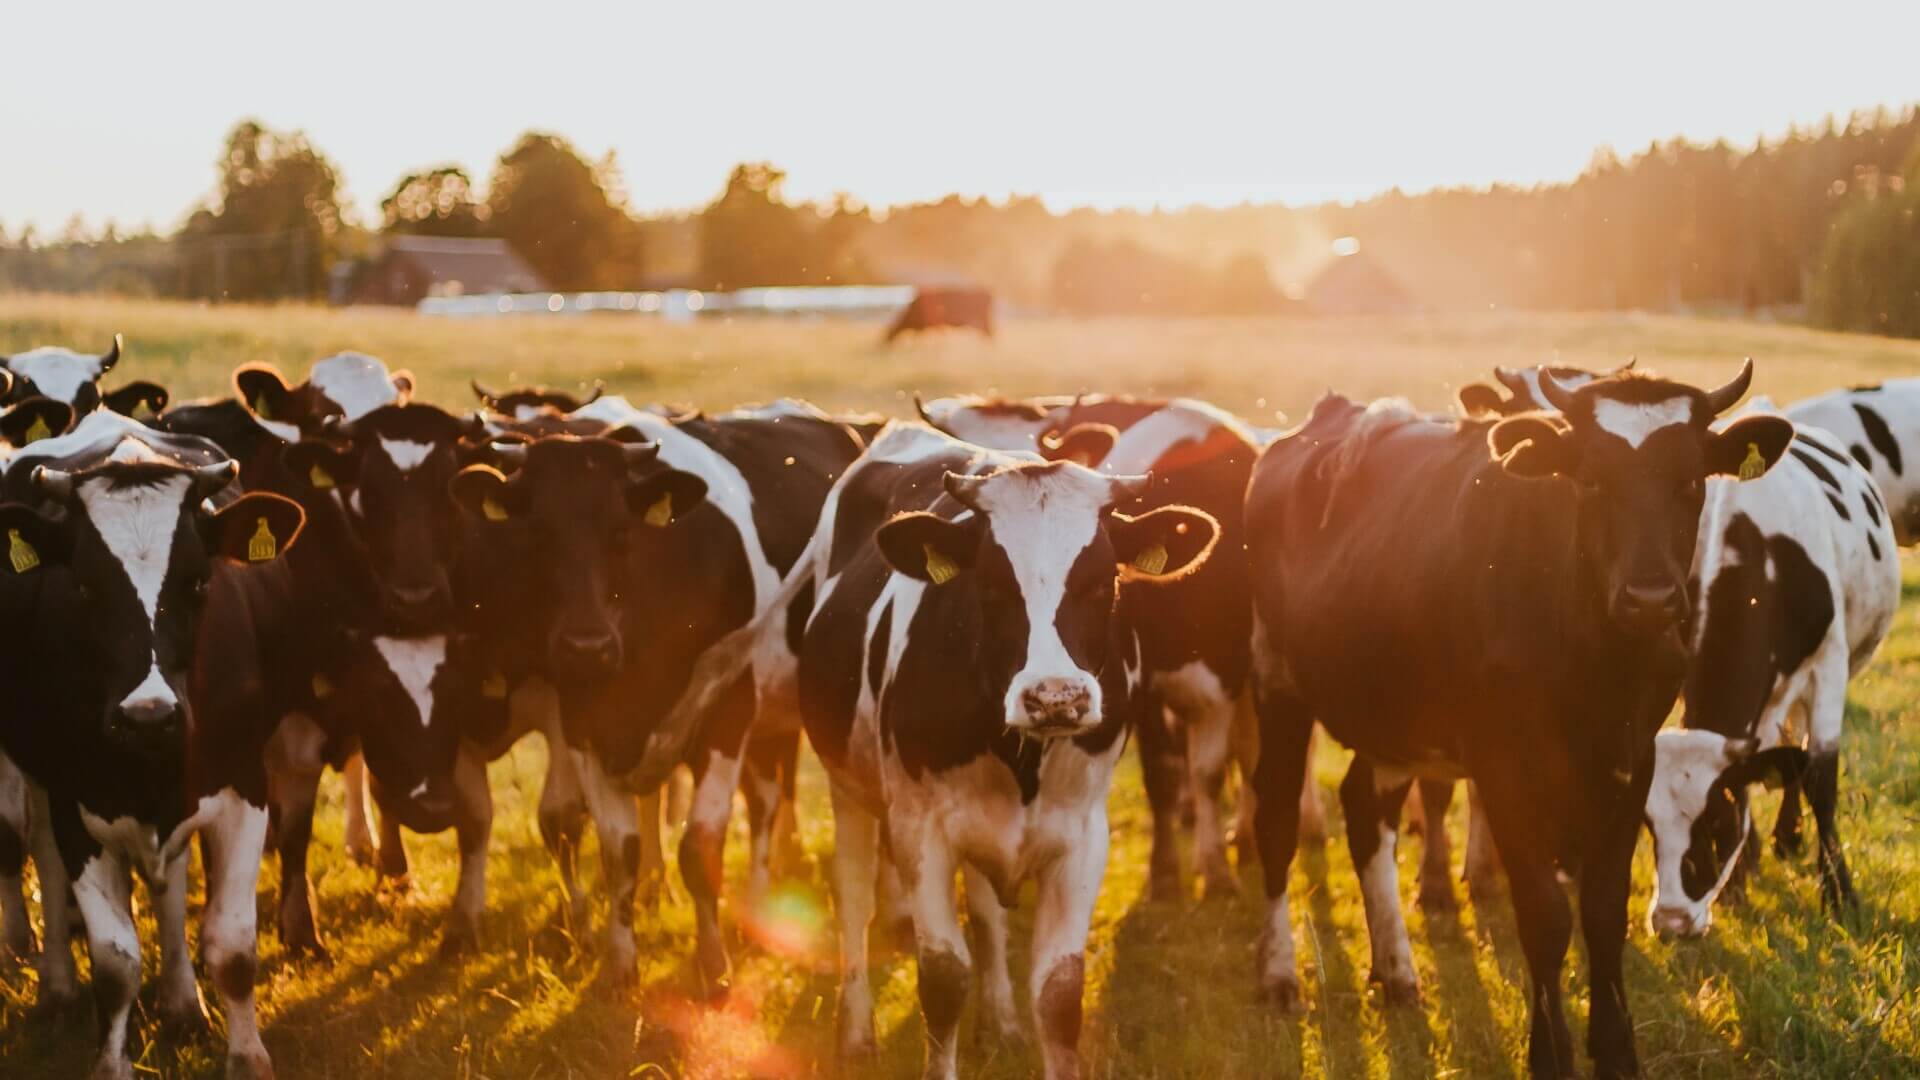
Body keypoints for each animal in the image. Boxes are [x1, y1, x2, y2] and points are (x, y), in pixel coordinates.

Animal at [0, 405, 303, 1076]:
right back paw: (58, 988)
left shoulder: (243, 786)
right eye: (83, 587)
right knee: (43, 857)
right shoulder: (75, 802)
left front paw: (247, 1055)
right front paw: (110, 1062)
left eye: (198, 582)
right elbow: (116, 964)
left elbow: (233, 947)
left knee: (172, 883)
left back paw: (183, 1002)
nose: (148, 717)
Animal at [910, 393, 1305, 891]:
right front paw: (1166, 872)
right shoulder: (1144, 686)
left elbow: (1211, 770)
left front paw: (1216, 870)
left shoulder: (1225, 675)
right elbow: (1164, 773)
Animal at [1236, 363, 1789, 1076]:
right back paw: (1279, 972)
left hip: (1394, 716)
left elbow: (1603, 909)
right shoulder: (1502, 763)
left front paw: (1616, 1049)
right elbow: (1545, 916)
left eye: (1691, 481)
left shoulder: (1631, 758)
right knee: (1276, 819)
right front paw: (1549, 1052)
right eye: (1590, 480)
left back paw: (1396, 969)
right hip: (1276, 678)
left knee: (1364, 812)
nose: (1649, 598)